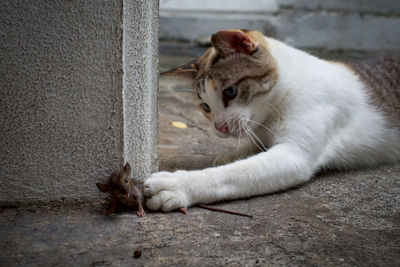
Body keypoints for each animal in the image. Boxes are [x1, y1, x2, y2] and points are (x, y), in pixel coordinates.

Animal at [144, 29, 400, 213]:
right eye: (206, 107)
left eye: (230, 92)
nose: (219, 127)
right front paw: (233, 153)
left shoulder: (294, 155)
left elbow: (233, 174)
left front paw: (178, 184)